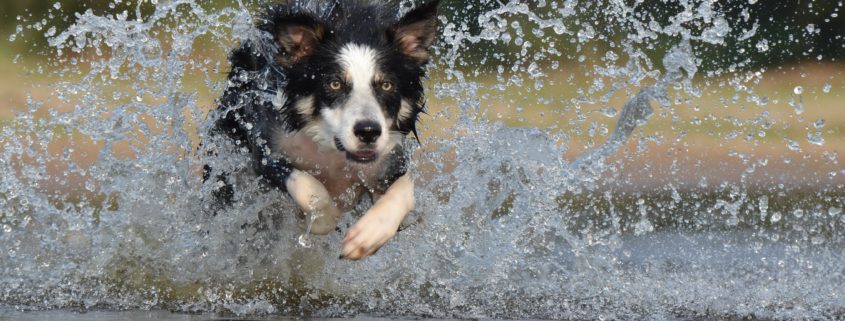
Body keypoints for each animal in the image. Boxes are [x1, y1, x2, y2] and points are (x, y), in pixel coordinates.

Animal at [204, 0, 438, 260]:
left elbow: (405, 190)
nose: (368, 132)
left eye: (386, 85)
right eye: (334, 84)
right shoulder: (266, 149)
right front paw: (322, 219)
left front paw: (368, 235)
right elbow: (308, 186)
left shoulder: (389, 159)